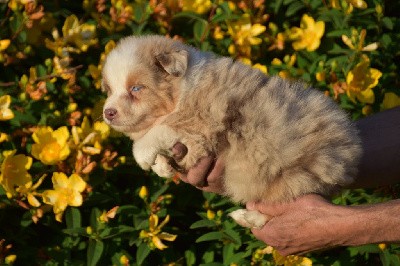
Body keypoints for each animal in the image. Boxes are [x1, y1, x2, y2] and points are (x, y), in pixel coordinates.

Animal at [101, 34, 362, 228]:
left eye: (136, 88)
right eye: (109, 90)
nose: (107, 112)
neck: (183, 90)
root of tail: (349, 150)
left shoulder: (200, 128)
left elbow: (159, 130)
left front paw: (144, 155)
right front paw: (163, 167)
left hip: (290, 178)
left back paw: (247, 218)